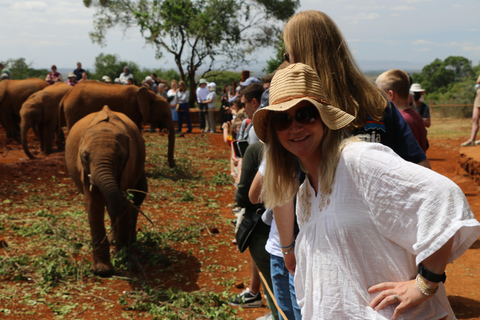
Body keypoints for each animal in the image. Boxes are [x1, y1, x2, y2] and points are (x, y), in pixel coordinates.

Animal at [65, 105, 148, 276]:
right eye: (85, 156)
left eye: (121, 157)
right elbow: (93, 204)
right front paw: (102, 271)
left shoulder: (129, 166)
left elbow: (124, 202)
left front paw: (122, 260)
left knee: (139, 193)